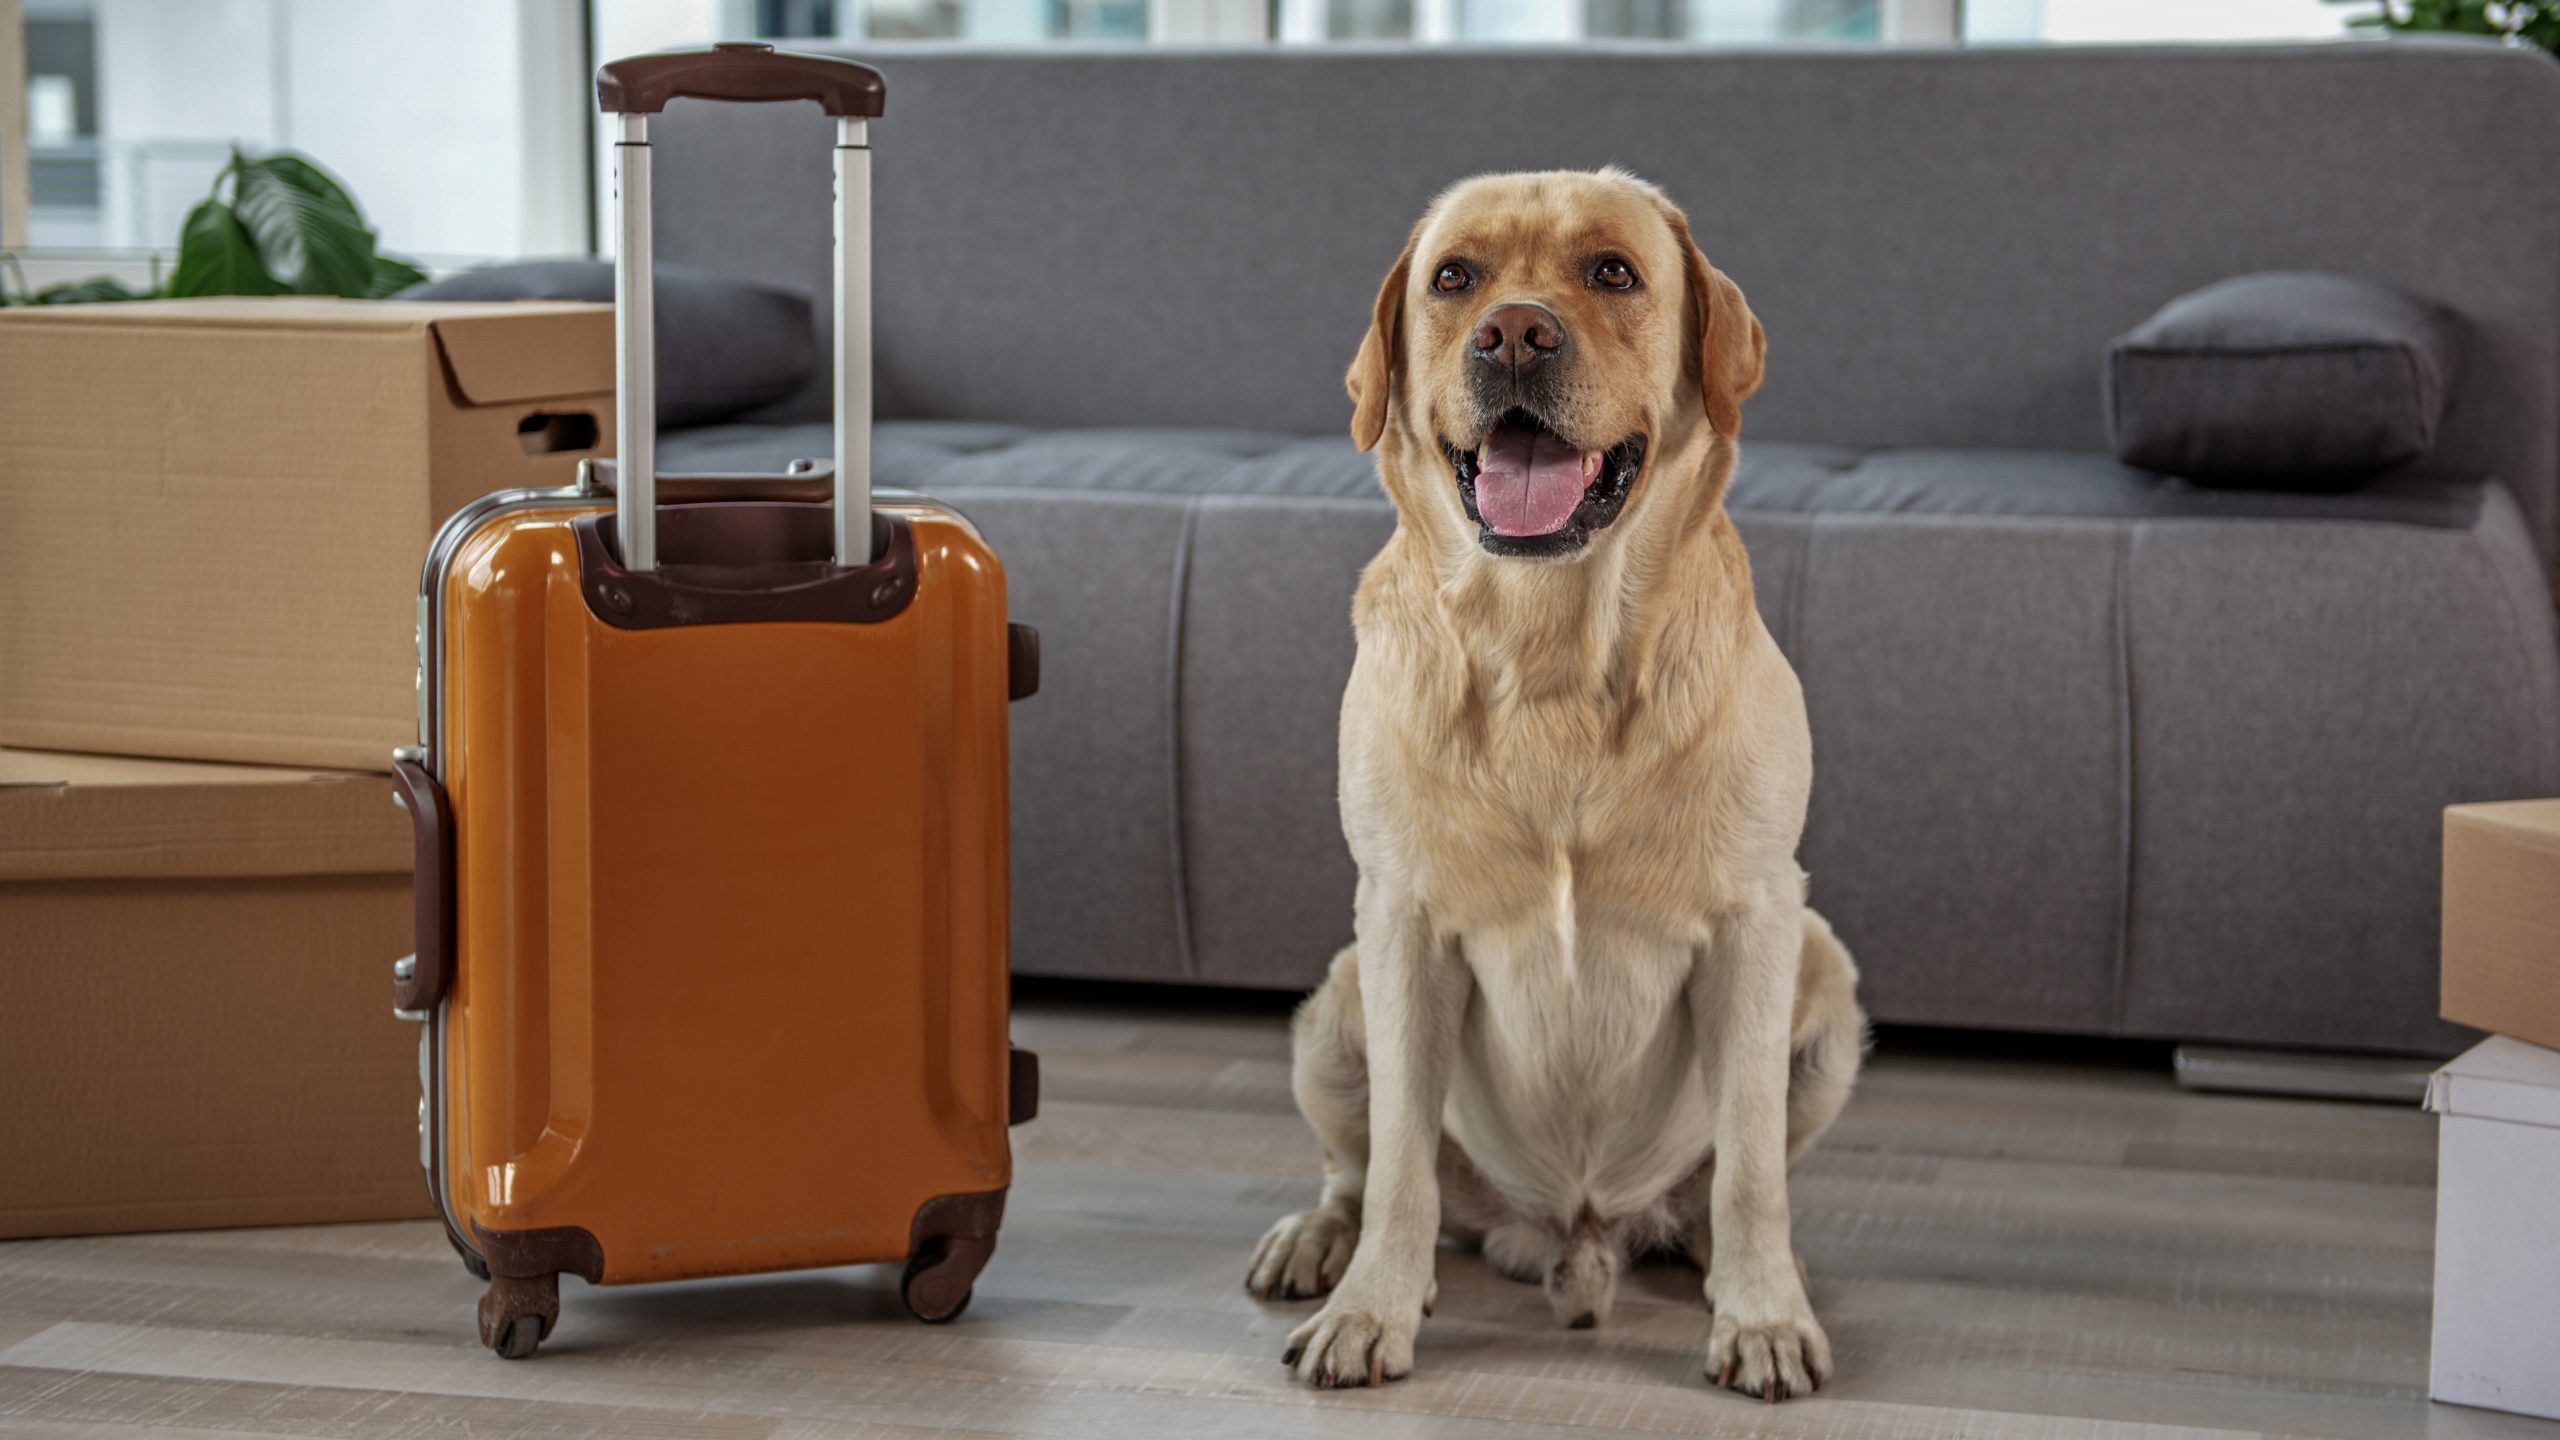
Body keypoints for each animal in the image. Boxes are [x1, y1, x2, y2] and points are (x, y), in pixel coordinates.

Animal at [1239, 165, 1863, 1393]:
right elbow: (1399, 1168)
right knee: (1364, 1172)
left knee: (1723, 1186)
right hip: (1336, 1005)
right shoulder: (1401, 925)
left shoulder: (1758, 921)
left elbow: (1751, 1164)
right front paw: (1370, 1312)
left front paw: (1763, 1317)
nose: (1515, 334)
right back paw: (1318, 1245)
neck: (1552, 655)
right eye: (1453, 278)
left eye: (1612, 272)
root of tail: (1573, 1231)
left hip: (1824, 982)